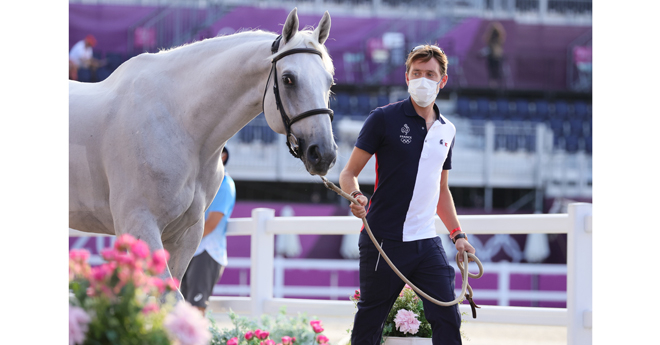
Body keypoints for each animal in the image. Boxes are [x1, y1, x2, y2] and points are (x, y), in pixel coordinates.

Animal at [68, 8, 336, 298]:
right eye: (288, 79)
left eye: (329, 81)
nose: (323, 153)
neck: (178, 122)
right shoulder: (139, 224)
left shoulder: (186, 235)